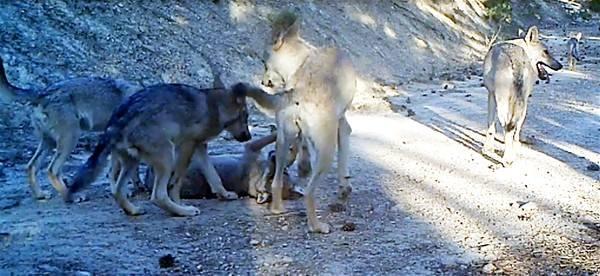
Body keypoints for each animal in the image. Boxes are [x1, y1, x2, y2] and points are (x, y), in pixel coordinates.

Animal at [0, 55, 142, 198]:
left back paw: (40, 195)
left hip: (50, 142)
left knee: (31, 166)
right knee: (52, 170)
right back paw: (70, 196)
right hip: (71, 138)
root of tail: (41, 92)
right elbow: (124, 171)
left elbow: (116, 171)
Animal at [66, 83, 258, 217]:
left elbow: (213, 176)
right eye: (245, 116)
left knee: (117, 190)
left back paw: (133, 211)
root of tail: (120, 116)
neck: (215, 106)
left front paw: (224, 194)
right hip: (167, 157)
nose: (249, 137)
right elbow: (176, 183)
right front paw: (181, 204)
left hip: (131, 162)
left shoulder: (199, 147)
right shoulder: (187, 146)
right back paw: (183, 212)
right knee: (157, 195)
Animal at [143, 133, 304, 204]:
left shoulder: (250, 146)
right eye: (282, 172)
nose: (273, 156)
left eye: (270, 177)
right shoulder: (252, 147)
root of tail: (147, 183)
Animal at [243, 11, 358, 234]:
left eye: (263, 61)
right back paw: (317, 226)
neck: (300, 59)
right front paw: (345, 187)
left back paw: (277, 209)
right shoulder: (342, 126)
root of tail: (298, 91)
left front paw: (304, 167)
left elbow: (302, 148)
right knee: (309, 192)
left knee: (276, 182)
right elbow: (343, 161)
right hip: (326, 151)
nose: (263, 81)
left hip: (281, 142)